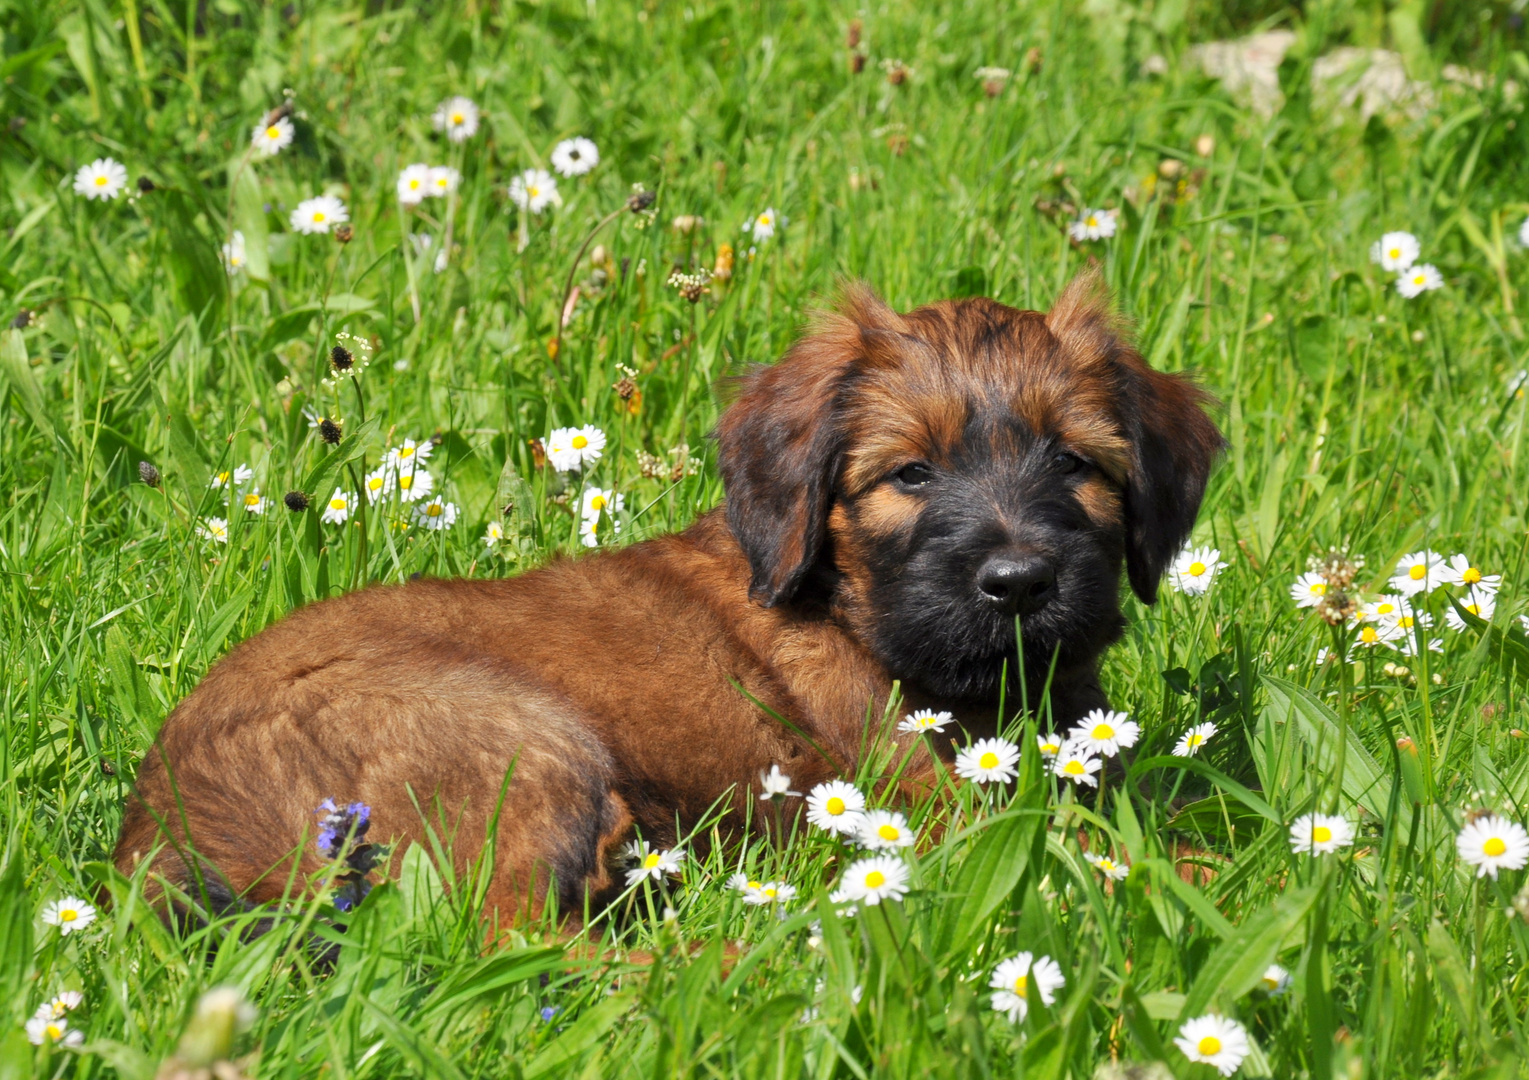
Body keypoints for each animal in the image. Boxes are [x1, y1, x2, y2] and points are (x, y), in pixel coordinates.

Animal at [113, 269, 1223, 917]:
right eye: (908, 475)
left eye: (1075, 463)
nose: (1018, 583)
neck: (851, 609)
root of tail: (159, 836)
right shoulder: (933, 807)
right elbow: (1127, 860)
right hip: (522, 743)